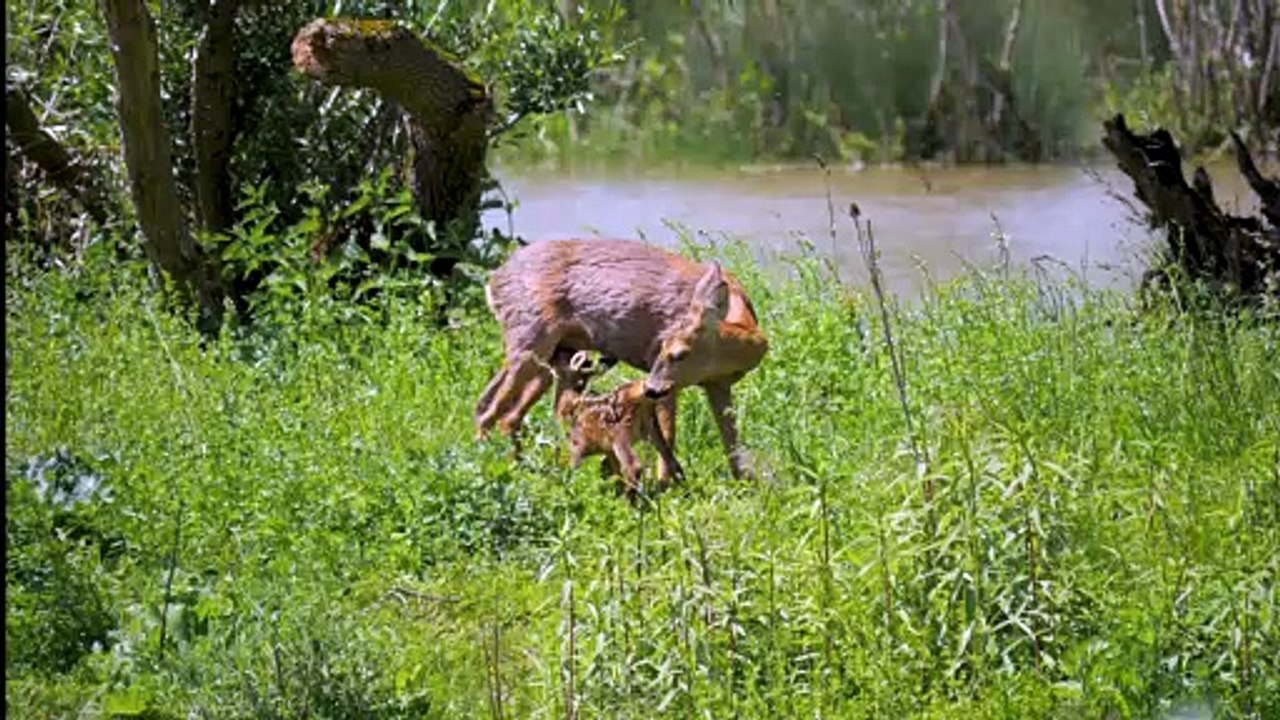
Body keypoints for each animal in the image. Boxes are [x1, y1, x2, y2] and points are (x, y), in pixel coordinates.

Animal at [475, 238, 768, 479]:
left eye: (679, 354)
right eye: (662, 346)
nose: (649, 387)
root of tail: (494, 281)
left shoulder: (718, 384)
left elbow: (732, 444)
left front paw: (745, 485)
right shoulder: (669, 383)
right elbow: (669, 435)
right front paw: (668, 485)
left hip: (552, 358)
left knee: (501, 410)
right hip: (529, 338)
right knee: (490, 410)